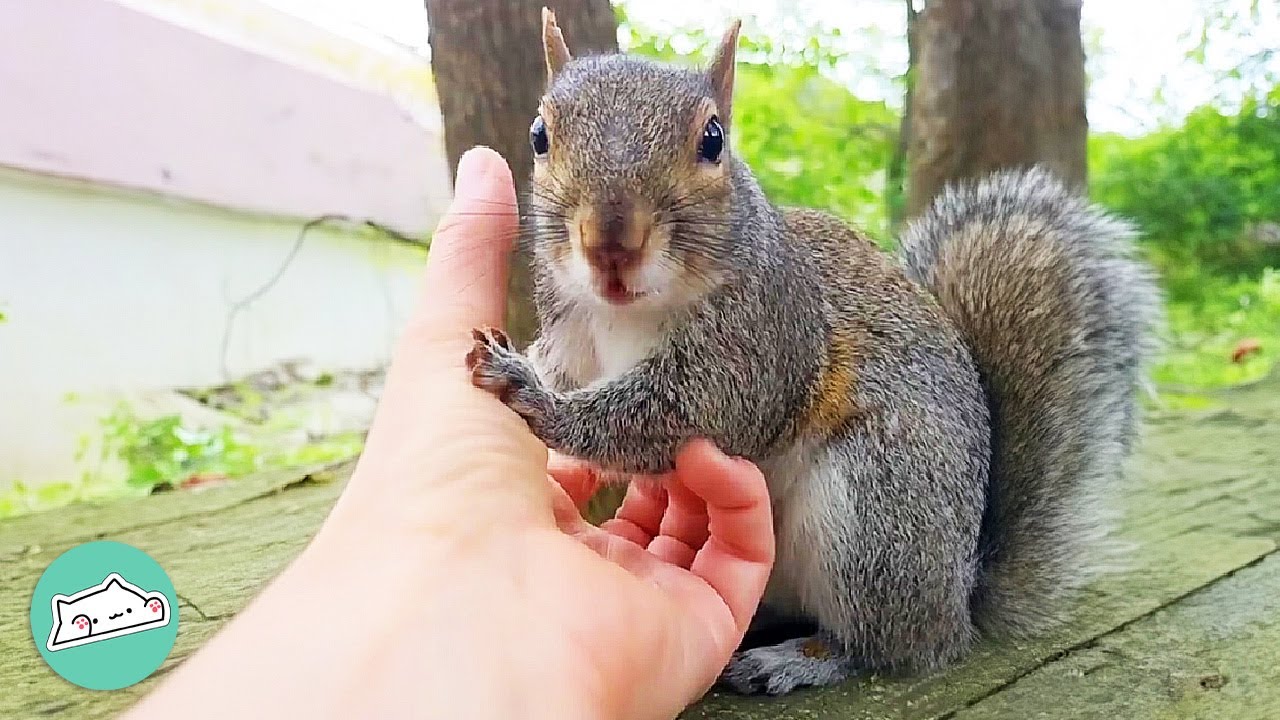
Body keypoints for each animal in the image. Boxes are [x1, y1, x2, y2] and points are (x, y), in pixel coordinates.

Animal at [465, 9, 1162, 697]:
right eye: (539, 134)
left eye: (713, 139)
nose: (611, 243)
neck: (621, 313)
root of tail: (958, 595)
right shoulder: (572, 332)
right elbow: (571, 371)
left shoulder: (761, 341)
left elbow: (676, 414)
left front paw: (533, 398)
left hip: (874, 507)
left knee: (885, 643)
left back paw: (799, 659)